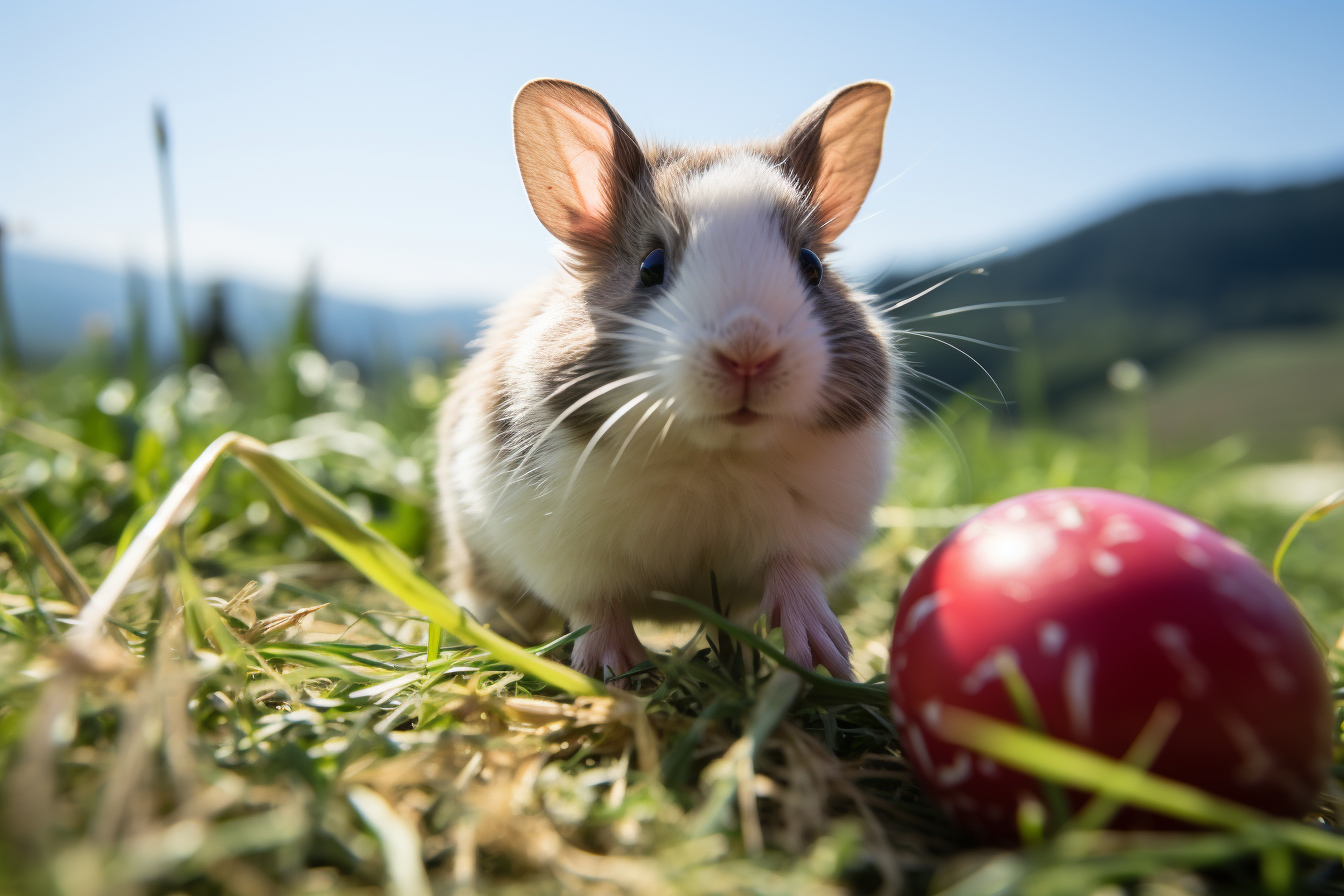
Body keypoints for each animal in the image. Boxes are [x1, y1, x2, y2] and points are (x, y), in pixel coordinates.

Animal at [440, 78, 903, 687]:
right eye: (651, 266)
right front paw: (611, 668)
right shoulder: (561, 549)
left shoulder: (810, 530)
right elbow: (598, 606)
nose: (749, 353)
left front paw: (824, 655)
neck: (711, 456)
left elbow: (794, 573)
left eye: (811, 266)